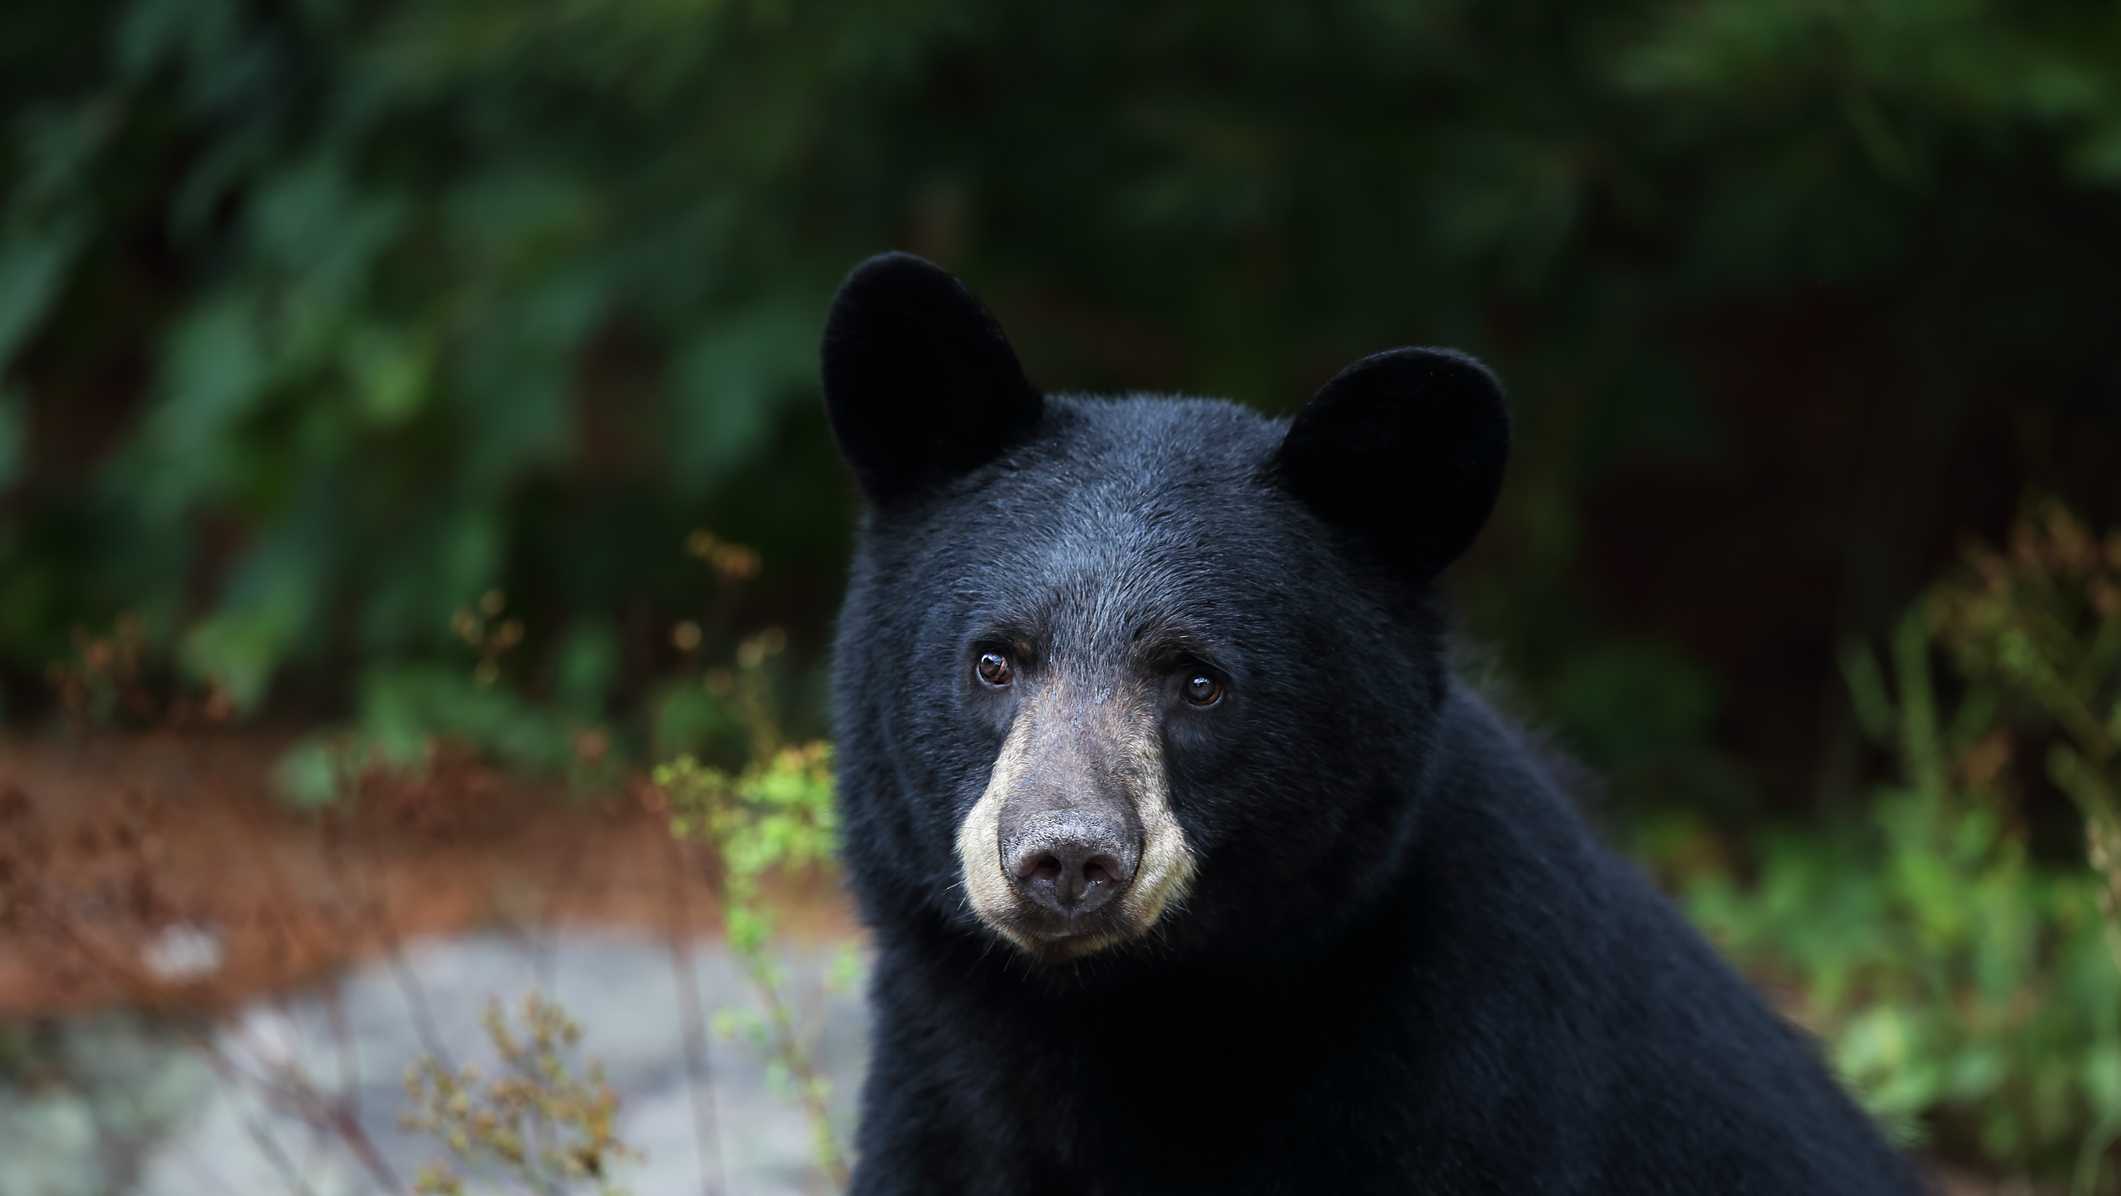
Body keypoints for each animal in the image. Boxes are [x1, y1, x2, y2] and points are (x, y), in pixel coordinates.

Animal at [820, 251, 1918, 1195]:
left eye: (1200, 682)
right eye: (993, 660)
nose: (1066, 858)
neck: (1125, 1028)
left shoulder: (1468, 1082)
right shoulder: (939, 1113)